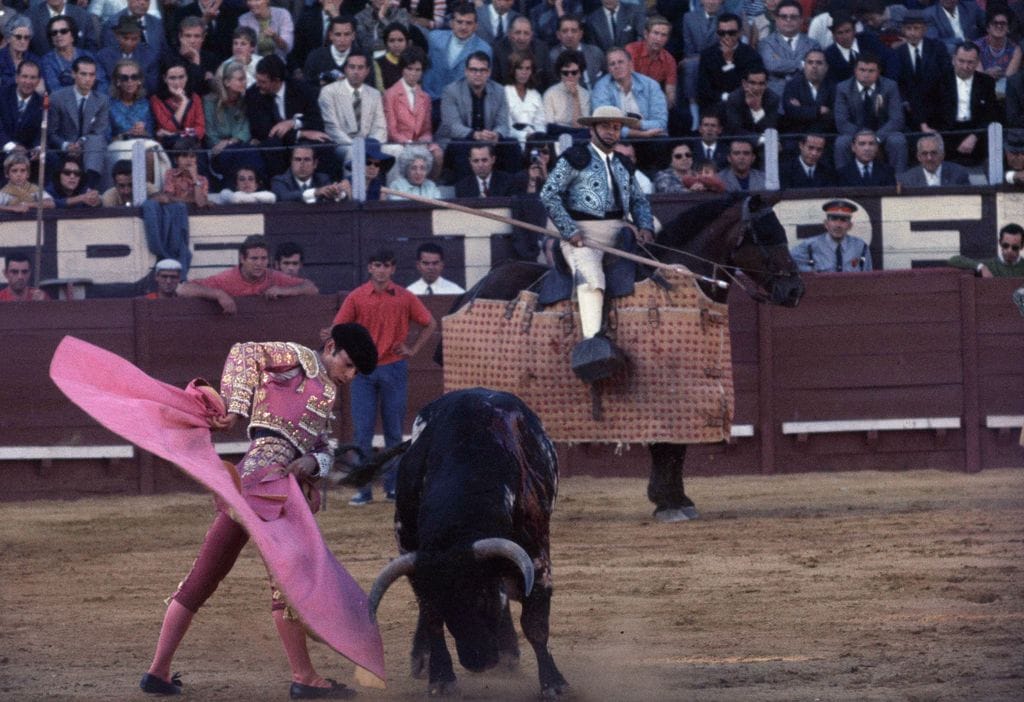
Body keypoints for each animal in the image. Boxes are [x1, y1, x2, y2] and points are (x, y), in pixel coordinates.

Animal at [366, 386, 569, 699]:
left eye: (483, 597)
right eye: (445, 606)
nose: (478, 661)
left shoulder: (536, 556)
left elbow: (535, 622)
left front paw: (553, 683)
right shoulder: (413, 554)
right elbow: (429, 615)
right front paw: (440, 677)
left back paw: (508, 653)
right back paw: (423, 658)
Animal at [436, 192, 802, 521]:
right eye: (766, 237)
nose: (796, 290)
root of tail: (473, 291)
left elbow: (678, 445)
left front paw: (676, 499)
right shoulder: (663, 389)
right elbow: (666, 444)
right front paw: (669, 502)